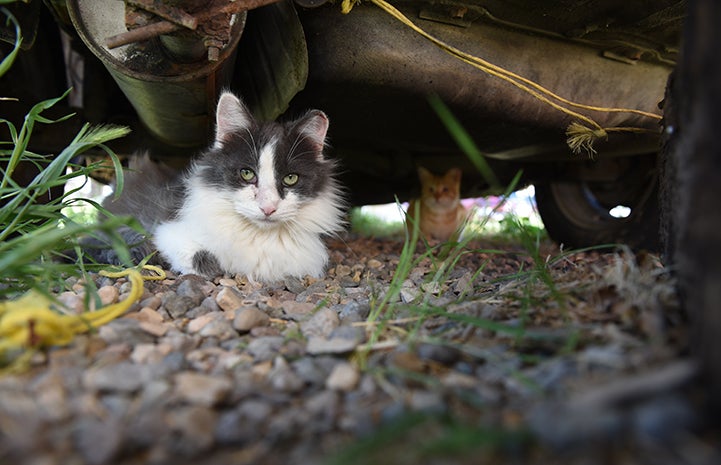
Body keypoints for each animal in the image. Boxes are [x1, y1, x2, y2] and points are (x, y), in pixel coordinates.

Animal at [88, 90, 348, 280]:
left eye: (290, 179)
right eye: (246, 173)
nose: (268, 208)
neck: (258, 235)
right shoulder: (166, 230)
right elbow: (205, 261)